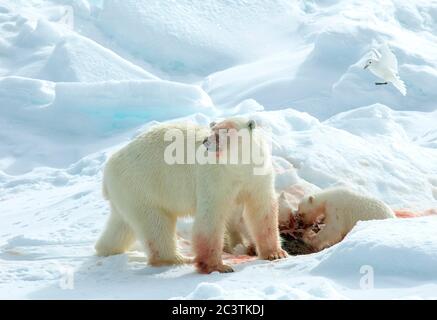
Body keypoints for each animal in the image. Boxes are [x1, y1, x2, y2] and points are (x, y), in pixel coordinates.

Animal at [95, 117, 286, 272]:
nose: (206, 141)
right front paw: (217, 266)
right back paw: (177, 259)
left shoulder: (257, 174)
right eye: (212, 130)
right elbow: (210, 216)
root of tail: (108, 171)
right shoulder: (215, 177)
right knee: (156, 225)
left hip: (128, 192)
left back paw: (105, 248)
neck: (237, 165)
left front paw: (275, 254)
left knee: (122, 224)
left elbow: (262, 208)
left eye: (223, 132)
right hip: (143, 185)